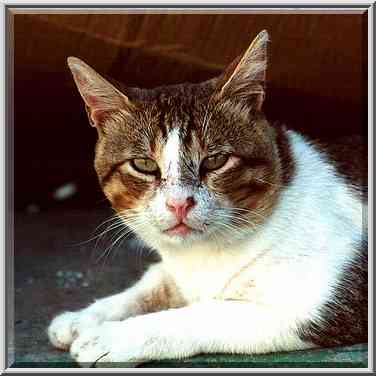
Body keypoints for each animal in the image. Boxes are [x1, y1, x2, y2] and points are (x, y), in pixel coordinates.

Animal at [47, 30, 368, 366]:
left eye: (215, 161)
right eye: (144, 165)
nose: (179, 203)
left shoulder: (316, 304)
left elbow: (203, 311)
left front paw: (112, 336)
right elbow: (155, 279)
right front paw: (84, 317)